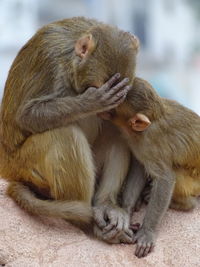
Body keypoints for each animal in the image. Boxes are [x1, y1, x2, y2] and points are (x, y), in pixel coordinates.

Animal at [0, 16, 139, 243]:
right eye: (94, 87)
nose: (107, 112)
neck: (70, 59)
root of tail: (6, 167)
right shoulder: (50, 61)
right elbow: (25, 116)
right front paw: (90, 102)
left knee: (116, 132)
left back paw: (106, 205)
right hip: (23, 167)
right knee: (64, 134)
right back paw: (84, 221)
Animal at [99, 78, 200, 258]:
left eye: (115, 104)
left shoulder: (151, 144)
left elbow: (166, 178)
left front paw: (147, 231)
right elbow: (140, 167)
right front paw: (126, 211)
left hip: (195, 182)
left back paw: (185, 203)